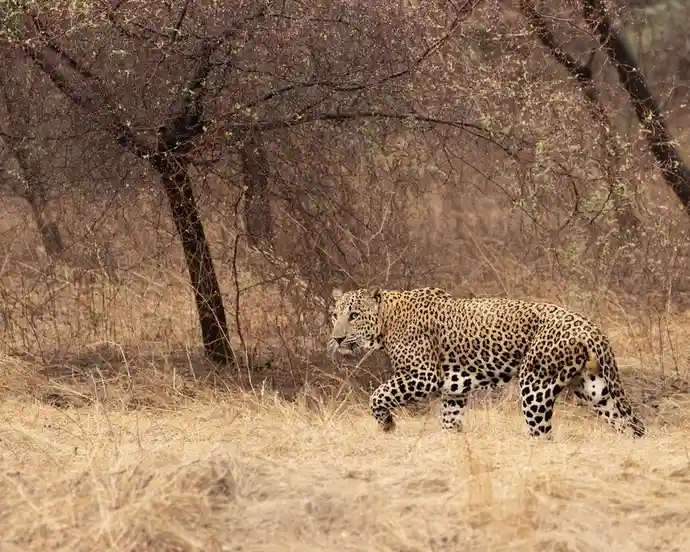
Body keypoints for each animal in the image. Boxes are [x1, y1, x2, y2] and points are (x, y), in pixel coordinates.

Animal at [327, 286, 646, 439]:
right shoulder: (454, 390)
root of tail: (591, 328)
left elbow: (378, 395)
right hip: (596, 389)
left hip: (536, 385)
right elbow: (449, 420)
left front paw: (387, 425)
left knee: (542, 434)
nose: (337, 338)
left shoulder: (423, 375)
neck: (386, 322)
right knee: (629, 425)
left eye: (354, 315)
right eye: (334, 315)